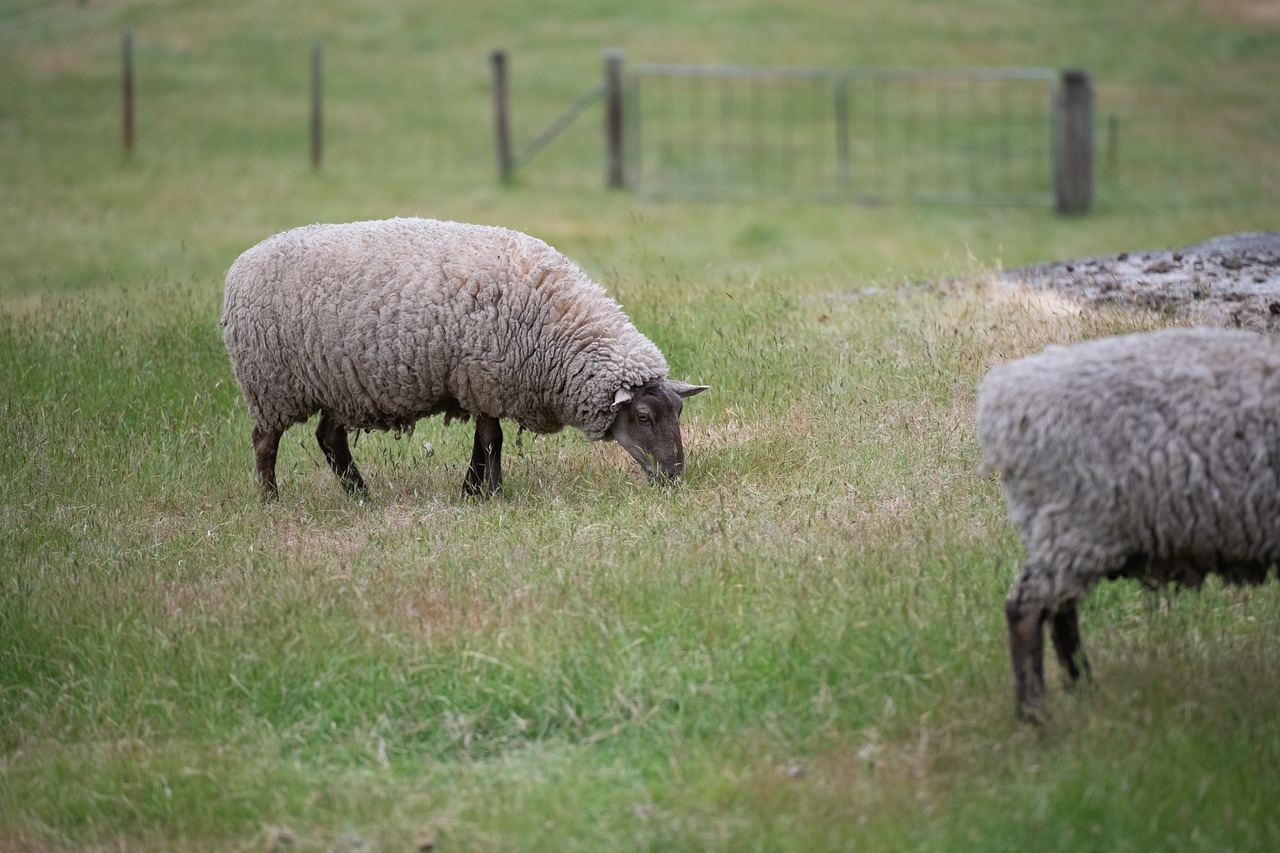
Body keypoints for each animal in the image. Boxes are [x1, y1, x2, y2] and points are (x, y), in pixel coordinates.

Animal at [215, 216, 706, 499]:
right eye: (642, 416)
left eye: (679, 412)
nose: (674, 479)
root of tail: (240, 264)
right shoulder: (484, 378)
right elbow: (493, 441)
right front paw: (491, 494)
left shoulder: (481, 382)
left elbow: (484, 441)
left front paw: (473, 490)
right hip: (271, 384)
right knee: (265, 442)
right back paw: (271, 500)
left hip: (340, 383)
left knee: (329, 439)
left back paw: (360, 497)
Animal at [977, 325, 1280, 717]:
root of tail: (1002, 395)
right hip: (1076, 522)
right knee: (1026, 610)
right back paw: (1038, 716)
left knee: (1059, 613)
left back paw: (1083, 693)